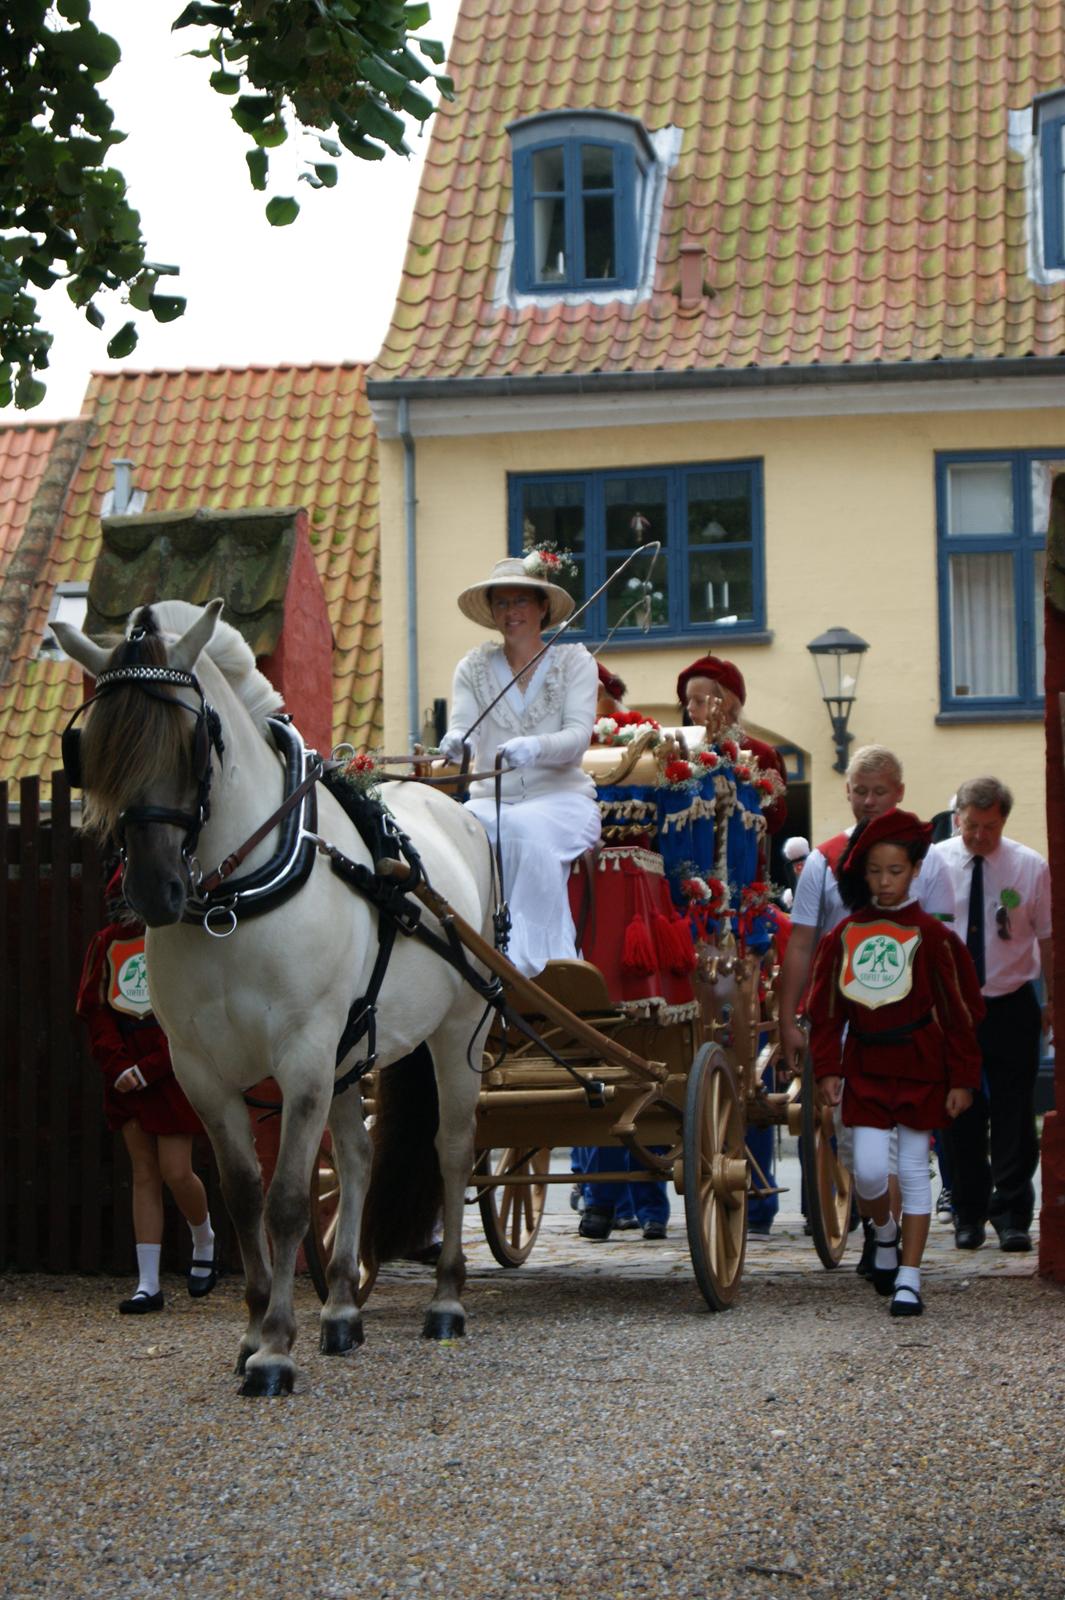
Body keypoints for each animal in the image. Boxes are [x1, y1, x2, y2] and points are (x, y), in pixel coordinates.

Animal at [59, 595, 498, 1395]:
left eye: (195, 737)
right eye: (94, 745)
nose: (154, 890)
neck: (234, 899)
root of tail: (452, 808)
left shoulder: (301, 1055)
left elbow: (289, 1198)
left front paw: (274, 1349)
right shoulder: (202, 1071)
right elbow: (241, 1197)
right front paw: (256, 1327)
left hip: (458, 1032)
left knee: (453, 1151)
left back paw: (447, 1300)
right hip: (353, 1054)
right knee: (356, 1159)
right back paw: (344, 1310)